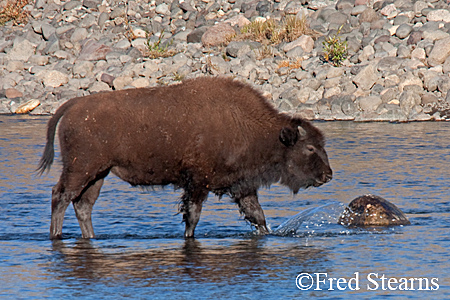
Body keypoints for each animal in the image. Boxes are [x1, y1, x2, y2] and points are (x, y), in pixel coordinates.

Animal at [38, 77, 332, 239]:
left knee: (83, 205)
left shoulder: (242, 186)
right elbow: (193, 217)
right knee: (60, 196)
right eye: (309, 148)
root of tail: (73, 106)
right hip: (81, 169)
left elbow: (257, 216)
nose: (328, 175)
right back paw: (57, 236)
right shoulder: (198, 184)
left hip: (98, 173)